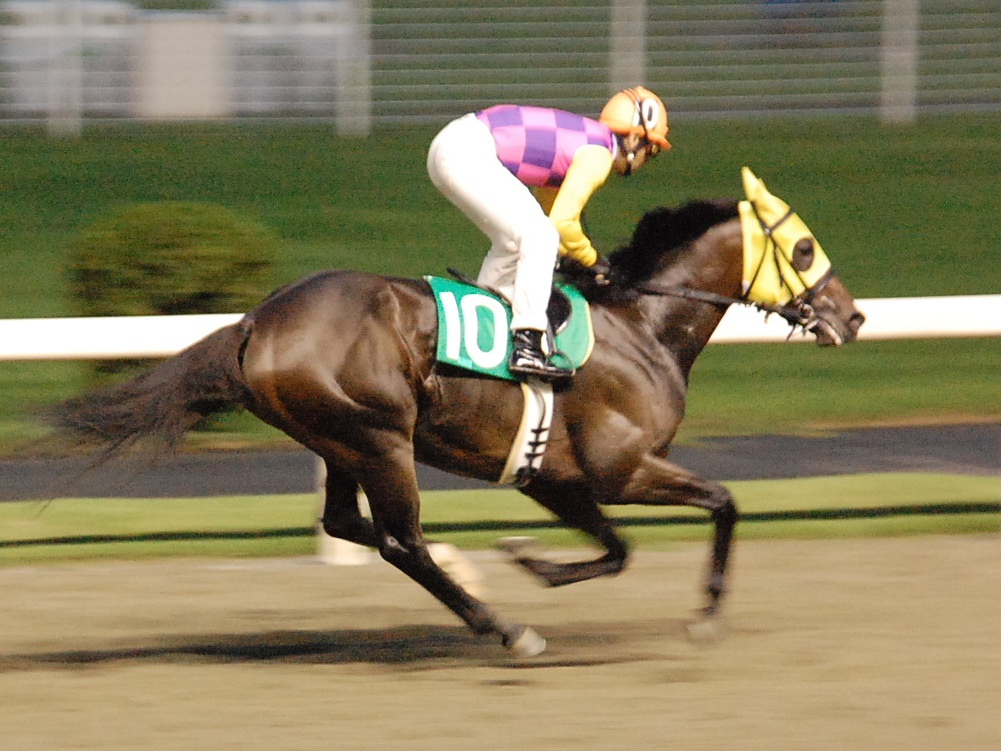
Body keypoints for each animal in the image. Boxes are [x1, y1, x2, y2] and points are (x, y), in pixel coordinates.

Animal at [53, 170, 865, 657]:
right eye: (802, 247)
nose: (852, 316)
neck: (641, 326)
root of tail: (257, 321)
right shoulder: (623, 469)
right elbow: (724, 502)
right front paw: (704, 614)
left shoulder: (554, 477)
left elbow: (617, 550)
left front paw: (530, 560)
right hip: (379, 435)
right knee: (401, 540)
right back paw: (503, 628)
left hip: (342, 439)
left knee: (351, 524)